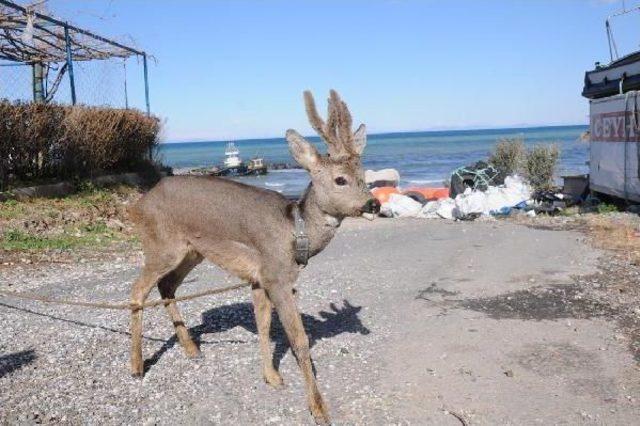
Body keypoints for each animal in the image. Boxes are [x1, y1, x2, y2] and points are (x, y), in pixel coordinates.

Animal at [129, 89, 380, 422]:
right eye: (340, 179)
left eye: (363, 175)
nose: (374, 204)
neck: (295, 230)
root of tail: (140, 203)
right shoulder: (276, 277)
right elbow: (299, 340)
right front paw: (318, 408)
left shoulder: (259, 278)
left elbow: (263, 324)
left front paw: (271, 377)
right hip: (161, 244)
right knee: (137, 291)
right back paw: (136, 366)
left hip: (192, 251)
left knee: (166, 286)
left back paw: (192, 349)